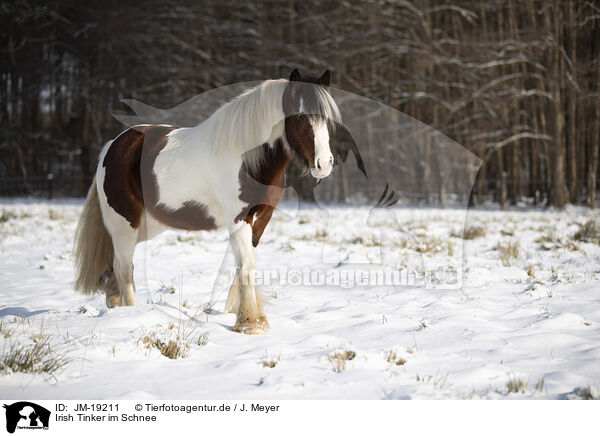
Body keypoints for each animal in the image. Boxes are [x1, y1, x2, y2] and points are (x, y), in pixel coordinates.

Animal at [72, 69, 340, 334]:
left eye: (327, 119)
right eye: (300, 116)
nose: (324, 164)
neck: (247, 158)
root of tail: (114, 145)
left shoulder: (261, 218)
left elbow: (245, 263)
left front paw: (239, 313)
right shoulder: (238, 219)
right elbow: (246, 267)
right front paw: (251, 323)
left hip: (146, 226)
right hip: (124, 225)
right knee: (124, 268)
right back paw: (131, 312)